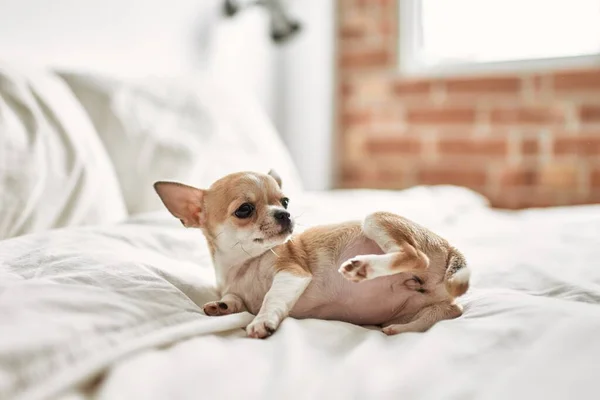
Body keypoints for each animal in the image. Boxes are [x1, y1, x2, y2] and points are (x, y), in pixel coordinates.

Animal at [154, 170, 468, 340]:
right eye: (244, 209)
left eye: (285, 201)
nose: (285, 214)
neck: (243, 264)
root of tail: (452, 249)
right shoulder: (235, 287)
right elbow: (234, 298)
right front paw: (222, 305)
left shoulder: (291, 273)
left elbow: (270, 299)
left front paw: (261, 321)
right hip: (424, 307)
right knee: (449, 311)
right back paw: (398, 329)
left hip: (375, 219)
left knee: (415, 256)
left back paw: (364, 268)